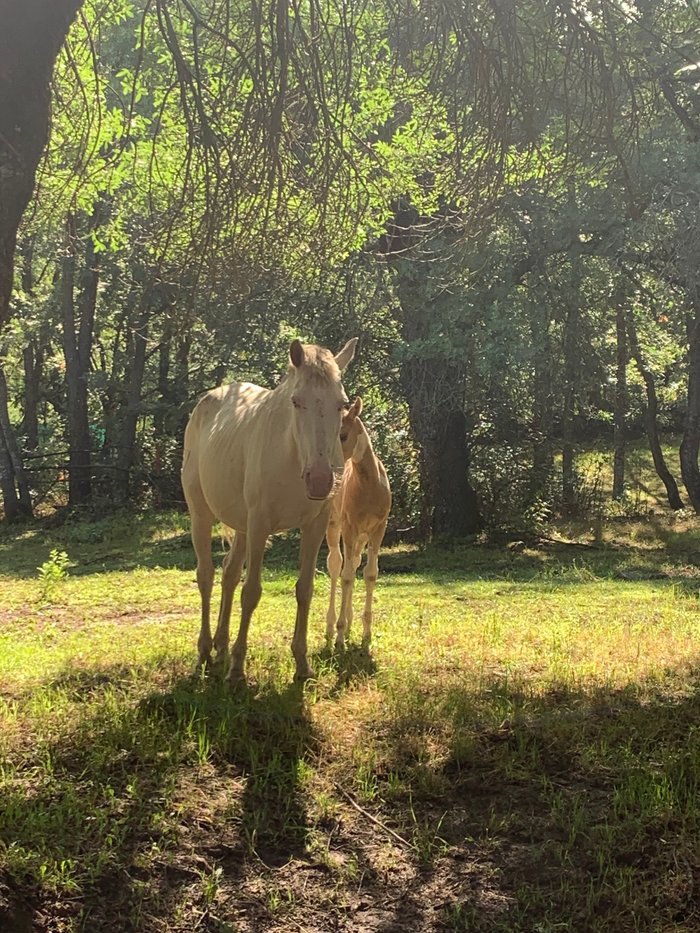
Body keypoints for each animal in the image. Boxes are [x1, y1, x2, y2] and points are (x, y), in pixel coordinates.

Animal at [182, 338, 356, 680]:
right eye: (296, 401)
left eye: (342, 404)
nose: (320, 480)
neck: (292, 455)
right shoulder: (260, 524)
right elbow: (251, 592)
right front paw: (238, 669)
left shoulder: (313, 526)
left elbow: (305, 589)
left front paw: (302, 664)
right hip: (201, 515)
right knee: (206, 576)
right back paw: (205, 653)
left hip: (240, 525)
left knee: (228, 574)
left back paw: (220, 649)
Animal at [326, 396, 392, 652]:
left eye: (343, 435)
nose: (328, 466)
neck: (369, 485)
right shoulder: (349, 526)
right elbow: (345, 576)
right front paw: (339, 636)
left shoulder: (378, 528)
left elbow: (370, 574)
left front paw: (366, 635)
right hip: (334, 526)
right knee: (336, 565)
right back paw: (331, 627)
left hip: (361, 537)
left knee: (353, 564)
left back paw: (349, 624)